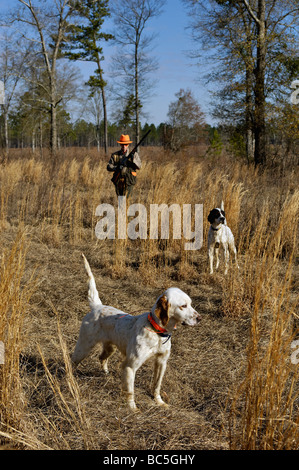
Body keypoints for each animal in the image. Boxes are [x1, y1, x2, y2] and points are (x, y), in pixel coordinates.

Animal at [72, 253, 202, 412]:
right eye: (183, 306)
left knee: (101, 358)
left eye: (190, 304)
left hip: (110, 348)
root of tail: (97, 306)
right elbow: (130, 391)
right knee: (72, 361)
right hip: (83, 347)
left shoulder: (161, 362)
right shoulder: (130, 366)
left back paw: (106, 373)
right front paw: (133, 409)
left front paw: (159, 402)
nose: (200, 318)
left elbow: (156, 386)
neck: (157, 333)